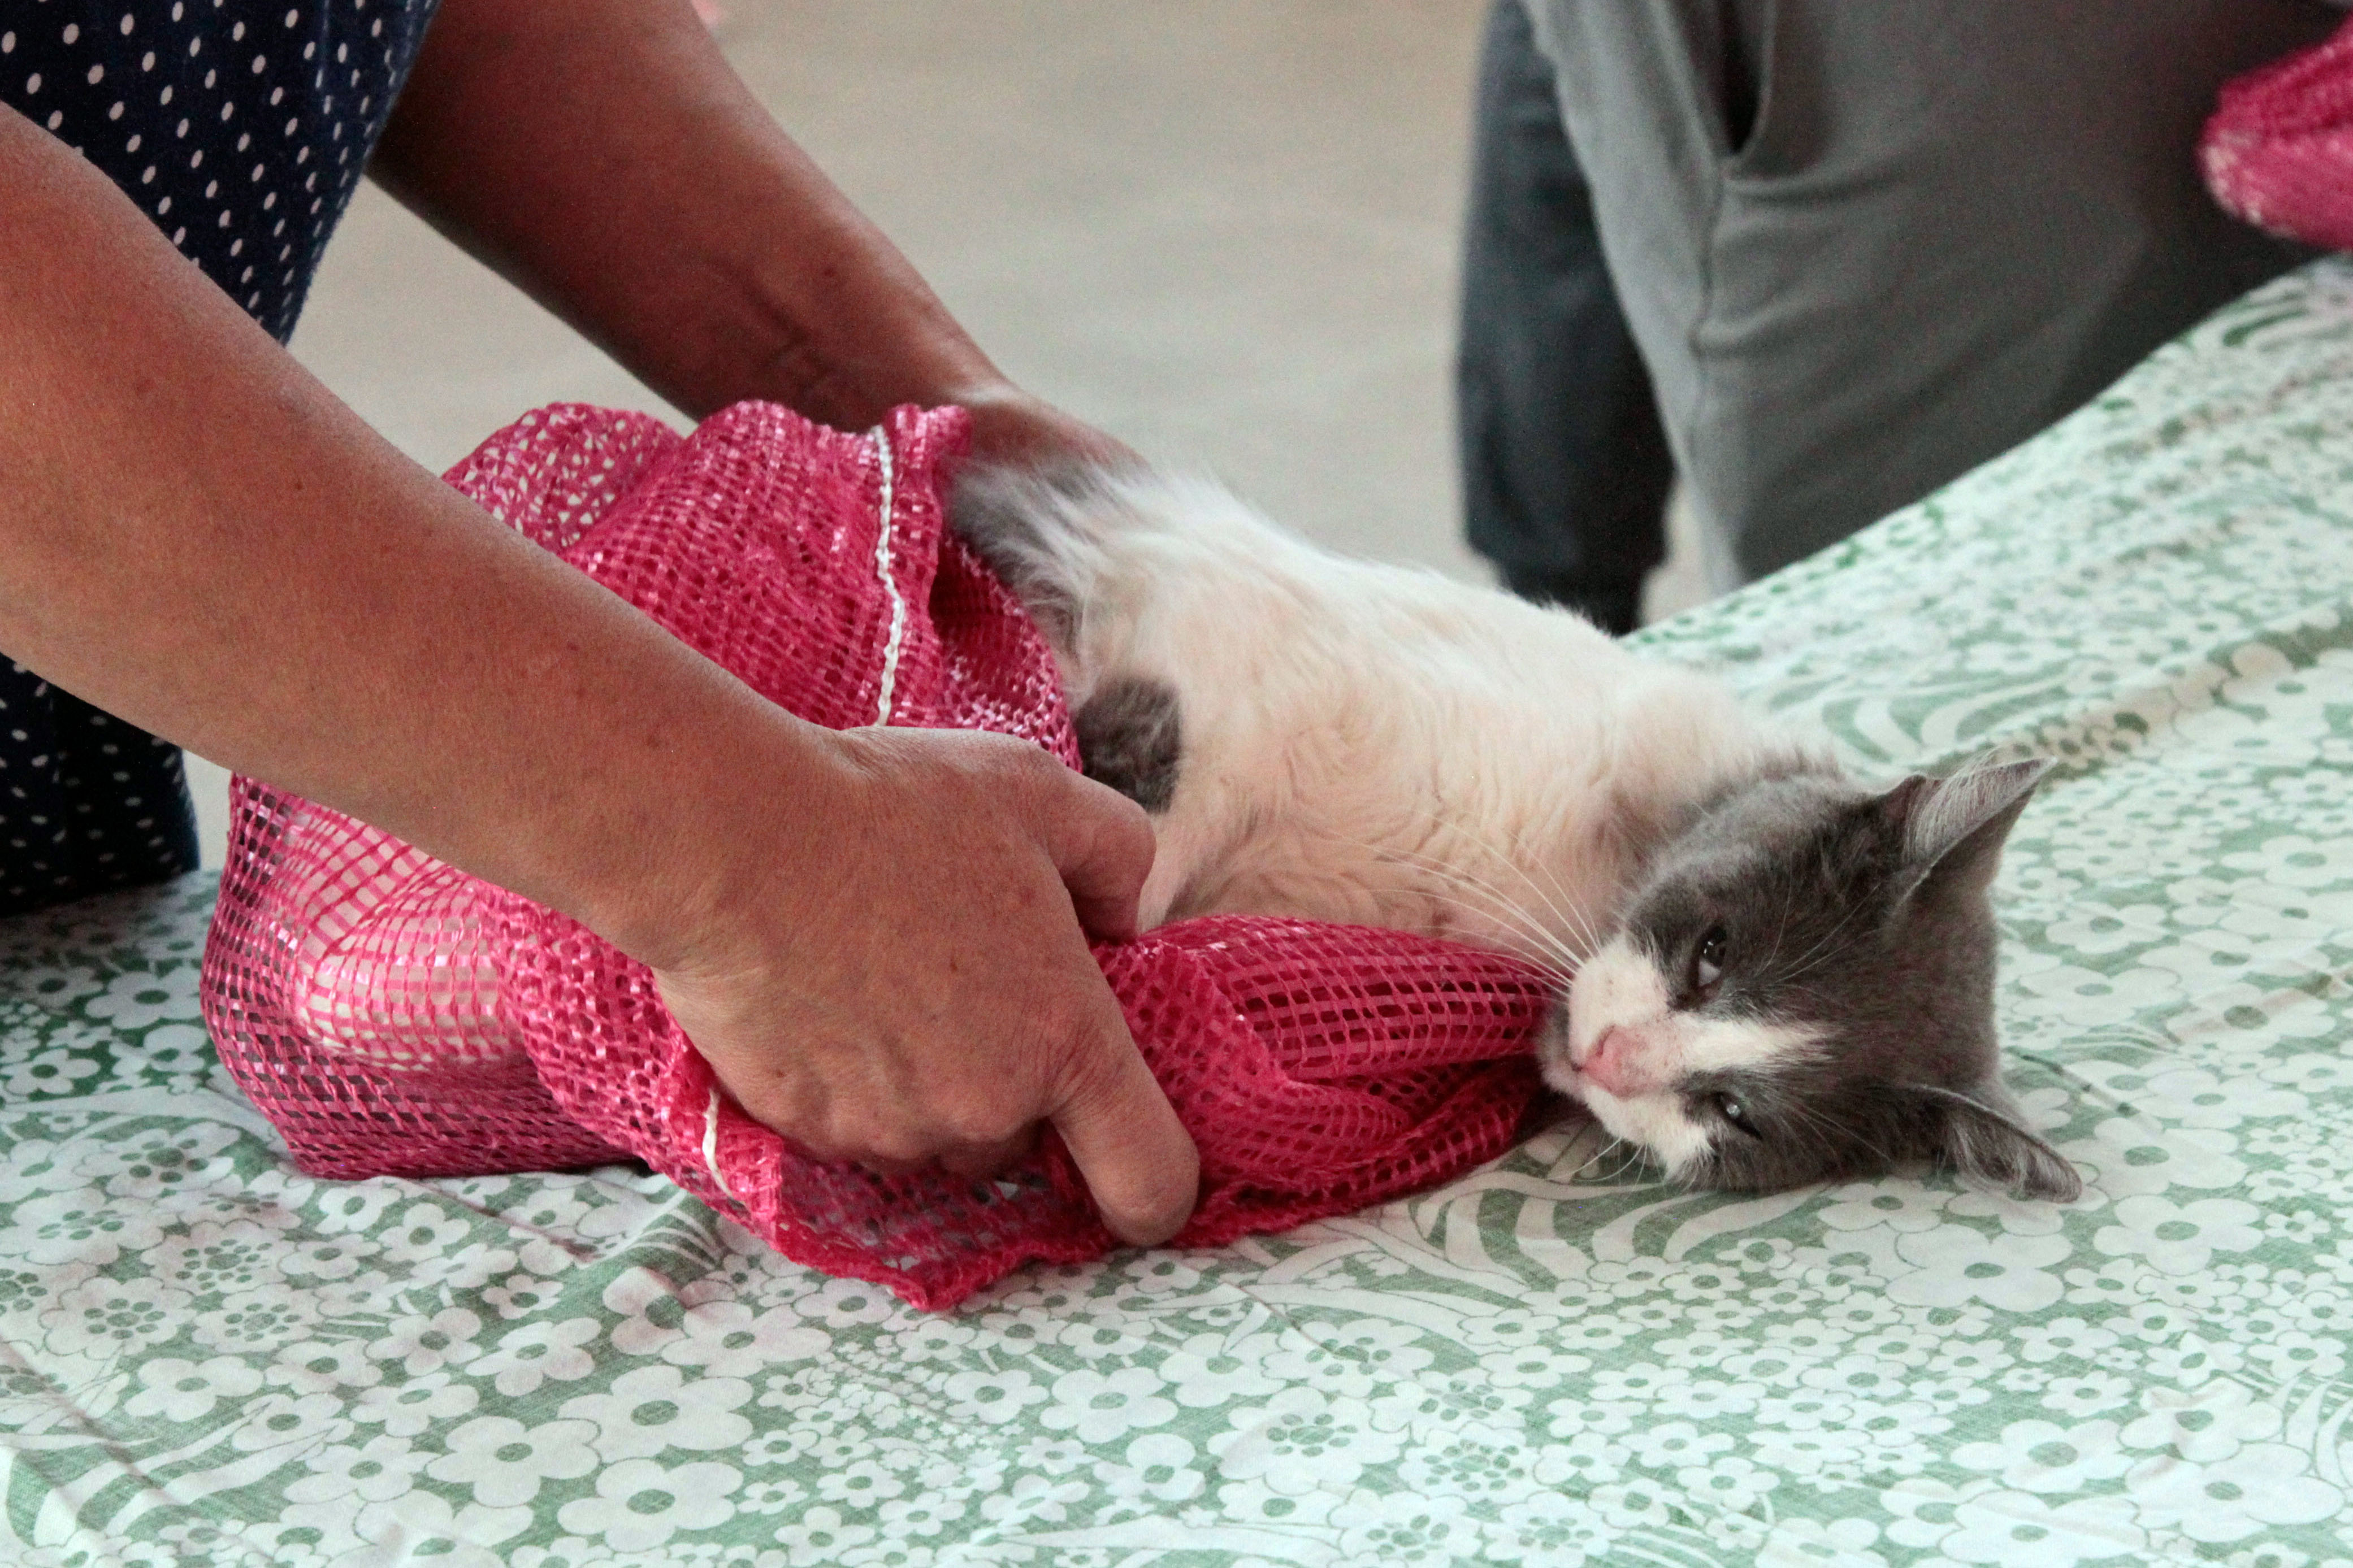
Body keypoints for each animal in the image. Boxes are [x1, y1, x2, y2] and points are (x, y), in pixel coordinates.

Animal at [950, 465, 2080, 1204]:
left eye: (1732, 1113)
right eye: (1714, 952)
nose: (1614, 1058)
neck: (1564, 877)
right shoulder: (1243, 654)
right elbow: (1155, 837)